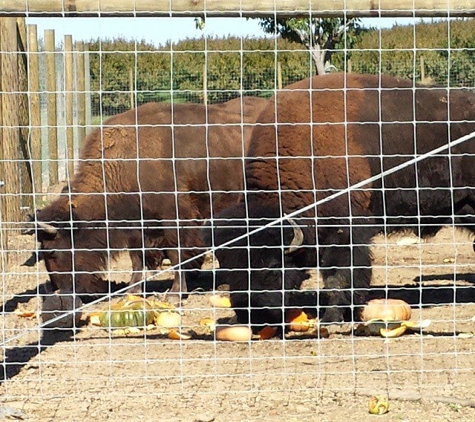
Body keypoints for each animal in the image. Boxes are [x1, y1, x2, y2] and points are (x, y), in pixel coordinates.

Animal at [27, 97, 270, 298]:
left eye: (52, 251)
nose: (58, 289)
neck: (125, 162)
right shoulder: (137, 227)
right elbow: (137, 259)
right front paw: (132, 292)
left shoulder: (174, 218)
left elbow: (175, 252)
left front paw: (175, 294)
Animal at [208, 73, 475, 326]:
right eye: (227, 266)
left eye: (273, 266)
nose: (250, 313)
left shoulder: (346, 231)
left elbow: (339, 275)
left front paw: (332, 317)